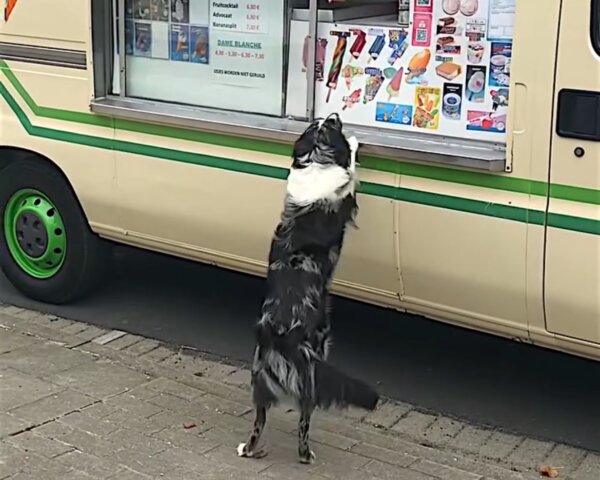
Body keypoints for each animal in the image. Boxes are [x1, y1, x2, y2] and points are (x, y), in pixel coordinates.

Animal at [237, 113, 378, 464]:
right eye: (331, 125)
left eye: (318, 124)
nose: (333, 115)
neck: (316, 158)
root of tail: (278, 333)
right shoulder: (346, 194)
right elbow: (350, 170)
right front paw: (354, 143)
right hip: (313, 368)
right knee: (303, 422)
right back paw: (305, 454)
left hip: (260, 379)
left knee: (258, 421)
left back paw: (248, 449)